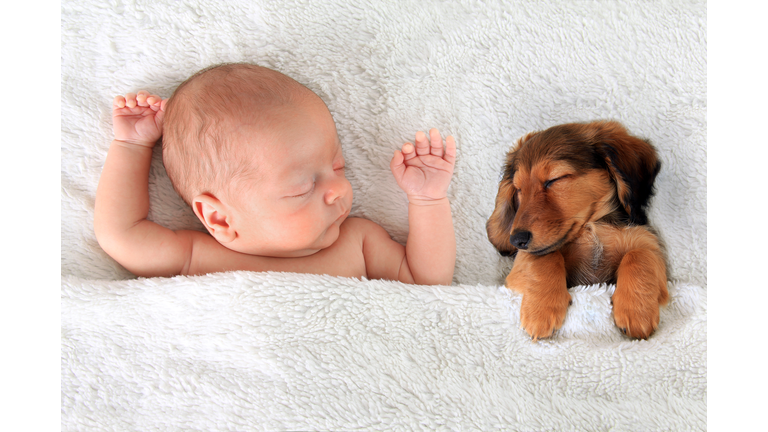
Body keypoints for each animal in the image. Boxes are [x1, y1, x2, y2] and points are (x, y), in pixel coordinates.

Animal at [488, 120, 668, 340]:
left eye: (554, 179)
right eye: (519, 189)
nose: (516, 240)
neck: (590, 228)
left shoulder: (648, 242)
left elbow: (639, 255)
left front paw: (636, 311)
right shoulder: (523, 262)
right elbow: (546, 257)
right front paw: (541, 310)